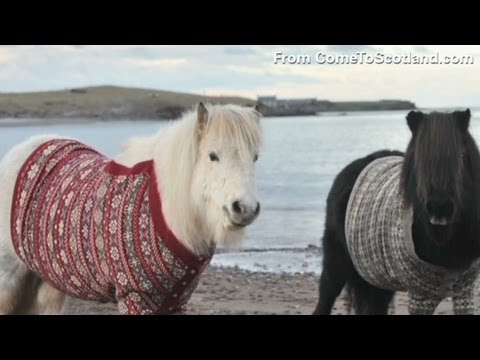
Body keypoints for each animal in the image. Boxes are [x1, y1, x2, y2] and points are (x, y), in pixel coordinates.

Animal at [0, 102, 262, 314]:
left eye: (255, 157)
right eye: (212, 156)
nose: (245, 208)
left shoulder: (175, 300)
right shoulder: (136, 297)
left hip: (52, 282)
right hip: (8, 280)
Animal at [314, 108, 480, 314]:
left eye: (462, 155)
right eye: (419, 158)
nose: (440, 209)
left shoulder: (464, 292)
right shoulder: (420, 296)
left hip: (378, 279)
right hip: (336, 265)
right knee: (325, 299)